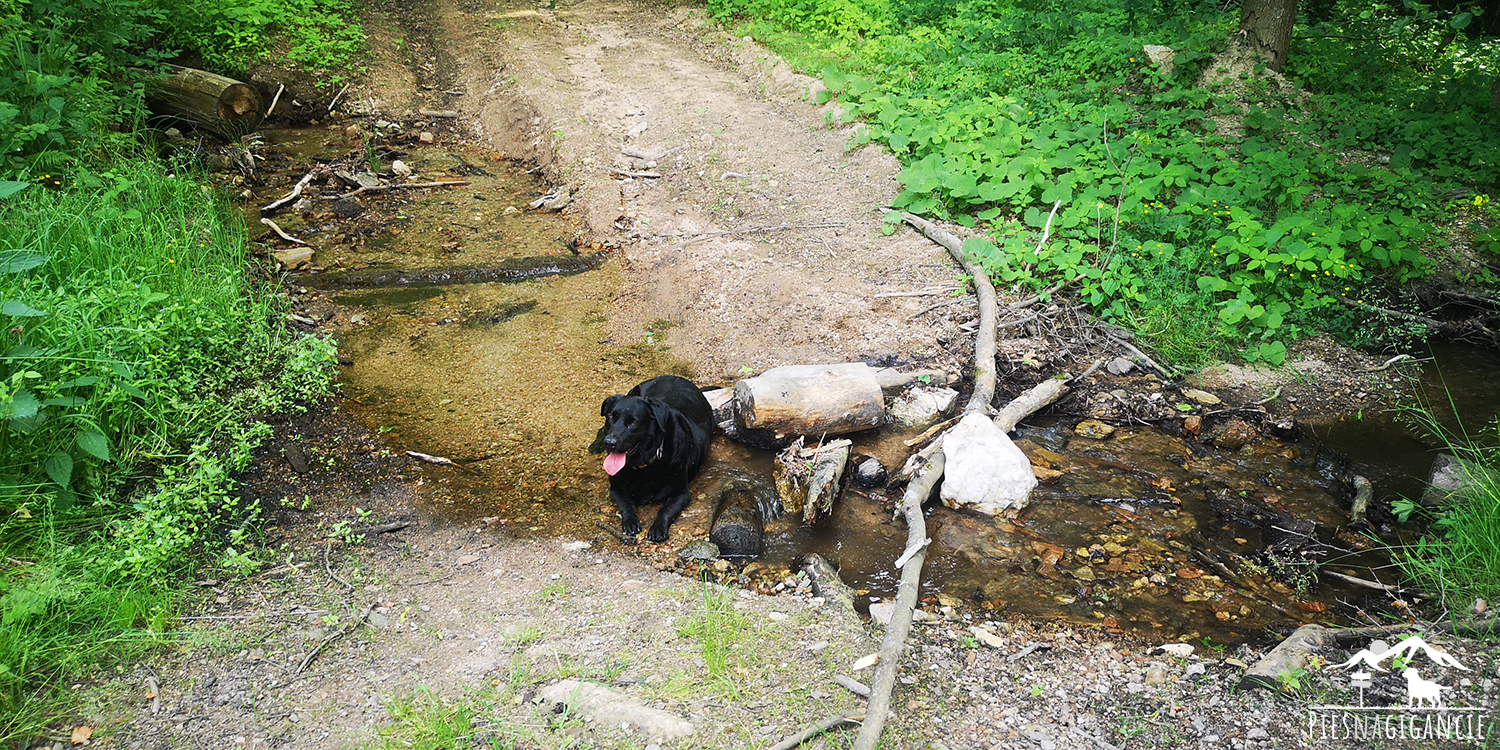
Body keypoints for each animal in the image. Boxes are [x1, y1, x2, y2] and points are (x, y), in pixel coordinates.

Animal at [597, 378, 714, 543]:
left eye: (633, 423)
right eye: (610, 418)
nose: (609, 442)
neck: (644, 465)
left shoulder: (681, 494)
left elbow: (665, 510)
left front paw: (658, 528)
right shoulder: (616, 488)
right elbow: (626, 504)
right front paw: (631, 521)